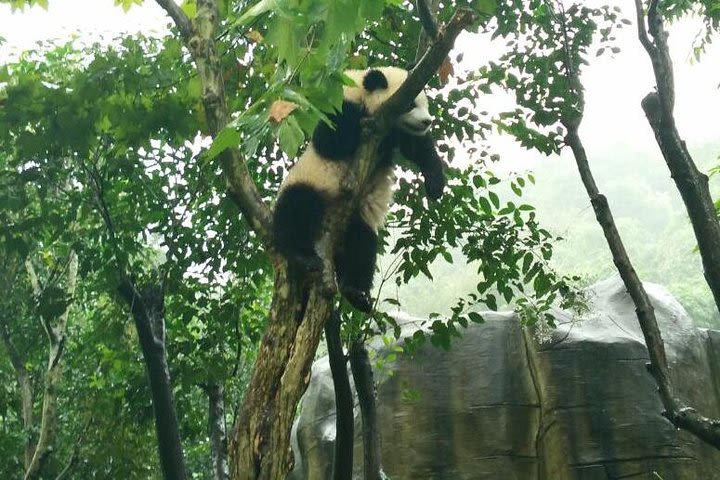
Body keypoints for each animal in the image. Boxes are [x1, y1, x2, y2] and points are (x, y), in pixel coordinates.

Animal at [274, 67, 448, 314]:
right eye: (410, 104)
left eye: (425, 104)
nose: (427, 121)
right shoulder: (339, 110)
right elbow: (331, 141)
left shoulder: (398, 133)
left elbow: (419, 149)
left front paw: (435, 185)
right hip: (309, 183)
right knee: (298, 208)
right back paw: (303, 256)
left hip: (353, 219)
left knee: (361, 243)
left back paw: (356, 293)